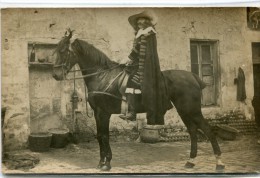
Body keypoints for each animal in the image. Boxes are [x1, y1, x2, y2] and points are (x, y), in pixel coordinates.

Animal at [51, 29, 224, 172]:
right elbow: (100, 136)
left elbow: (104, 136)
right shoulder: (97, 113)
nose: (55, 75)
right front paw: (101, 162)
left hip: (192, 110)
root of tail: (193, 77)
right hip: (184, 111)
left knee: (207, 130)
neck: (102, 75)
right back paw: (190, 162)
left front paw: (106, 164)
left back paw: (219, 163)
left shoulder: (103, 113)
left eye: (63, 51)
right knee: (193, 131)